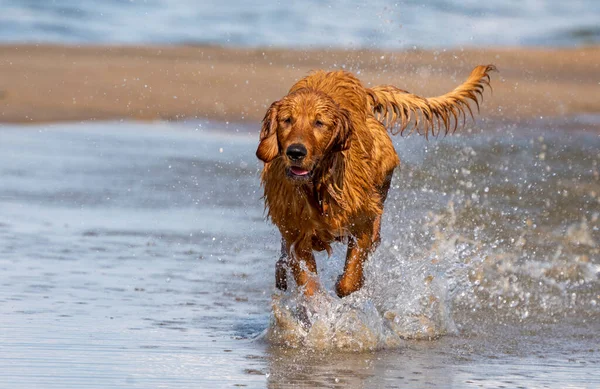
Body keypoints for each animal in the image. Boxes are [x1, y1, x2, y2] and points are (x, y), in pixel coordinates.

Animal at [255, 66, 494, 298]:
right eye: (287, 120)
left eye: (319, 123)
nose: (295, 152)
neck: (318, 187)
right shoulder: (298, 235)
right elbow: (310, 286)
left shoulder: (361, 221)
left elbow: (349, 280)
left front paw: (348, 283)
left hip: (382, 168)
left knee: (377, 213)